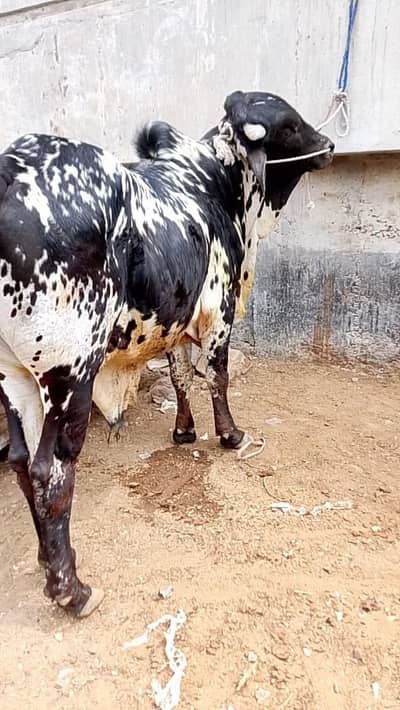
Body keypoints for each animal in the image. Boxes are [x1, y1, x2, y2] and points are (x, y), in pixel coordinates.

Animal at [0, 90, 334, 616]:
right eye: (291, 125)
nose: (330, 145)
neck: (214, 184)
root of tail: (11, 171)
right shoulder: (218, 311)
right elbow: (216, 376)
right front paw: (230, 435)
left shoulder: (176, 318)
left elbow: (179, 376)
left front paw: (183, 431)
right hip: (70, 373)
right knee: (49, 472)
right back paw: (71, 588)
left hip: (13, 375)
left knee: (19, 461)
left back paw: (45, 559)